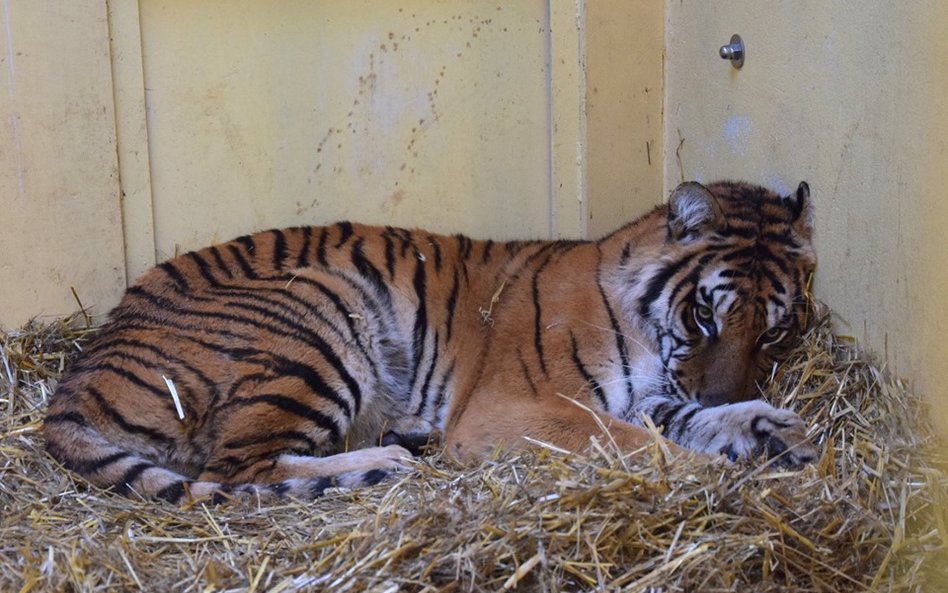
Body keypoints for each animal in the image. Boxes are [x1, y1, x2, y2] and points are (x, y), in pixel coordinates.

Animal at [42, 178, 816, 502]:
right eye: (706, 315)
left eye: (774, 330)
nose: (722, 389)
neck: (651, 330)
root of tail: (78, 374)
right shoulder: (517, 409)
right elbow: (637, 443)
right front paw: (713, 472)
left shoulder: (651, 392)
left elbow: (688, 418)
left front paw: (775, 430)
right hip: (319, 314)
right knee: (235, 469)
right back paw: (387, 459)